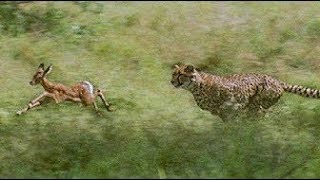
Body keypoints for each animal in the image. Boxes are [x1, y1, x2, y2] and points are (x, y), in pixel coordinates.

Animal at [171, 64, 320, 121]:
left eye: (180, 75)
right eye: (173, 74)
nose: (172, 82)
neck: (196, 86)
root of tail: (277, 81)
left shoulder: (232, 104)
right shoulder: (222, 112)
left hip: (258, 102)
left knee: (263, 113)